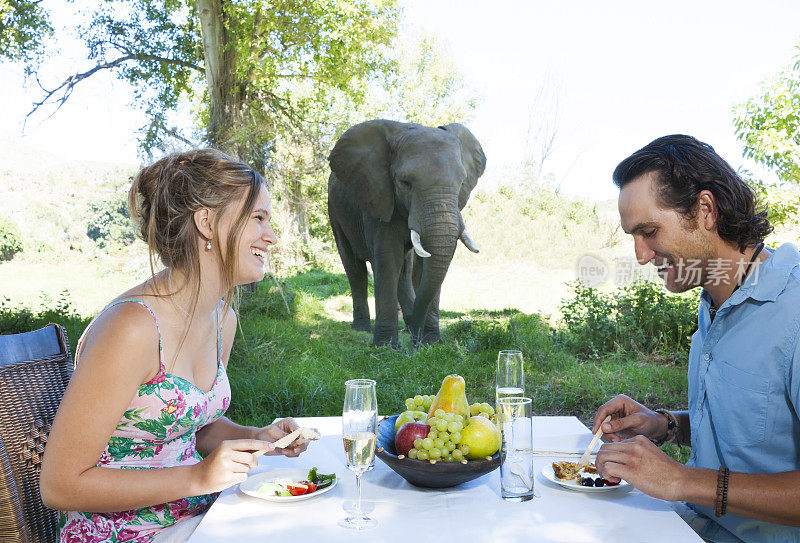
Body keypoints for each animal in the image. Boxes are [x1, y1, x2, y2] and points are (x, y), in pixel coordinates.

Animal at [326, 119, 488, 348]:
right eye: (405, 183)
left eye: (461, 183)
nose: (415, 343)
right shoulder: (379, 196)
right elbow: (387, 259)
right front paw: (386, 348)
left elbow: (423, 265)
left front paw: (432, 343)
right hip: (335, 211)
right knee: (354, 267)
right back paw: (361, 329)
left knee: (404, 270)